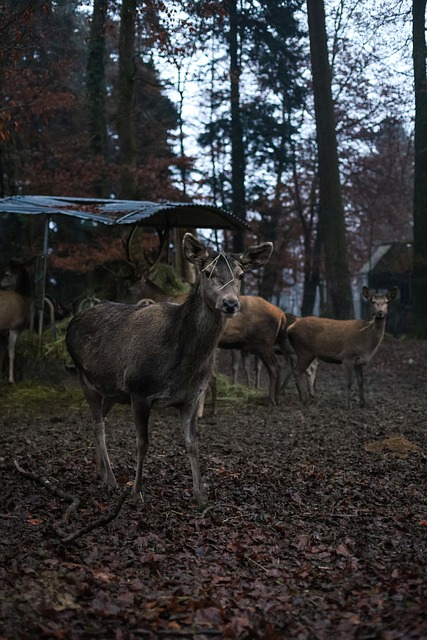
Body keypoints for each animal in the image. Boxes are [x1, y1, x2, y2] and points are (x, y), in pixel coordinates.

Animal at [65, 233, 273, 506]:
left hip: (110, 389)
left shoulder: (190, 397)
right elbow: (142, 442)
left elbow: (193, 442)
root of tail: (72, 322)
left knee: (98, 420)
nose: (230, 303)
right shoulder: (139, 390)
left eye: (240, 275)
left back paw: (101, 472)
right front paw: (136, 492)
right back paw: (110, 480)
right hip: (84, 375)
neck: (179, 365)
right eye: (207, 272)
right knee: (99, 425)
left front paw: (200, 495)